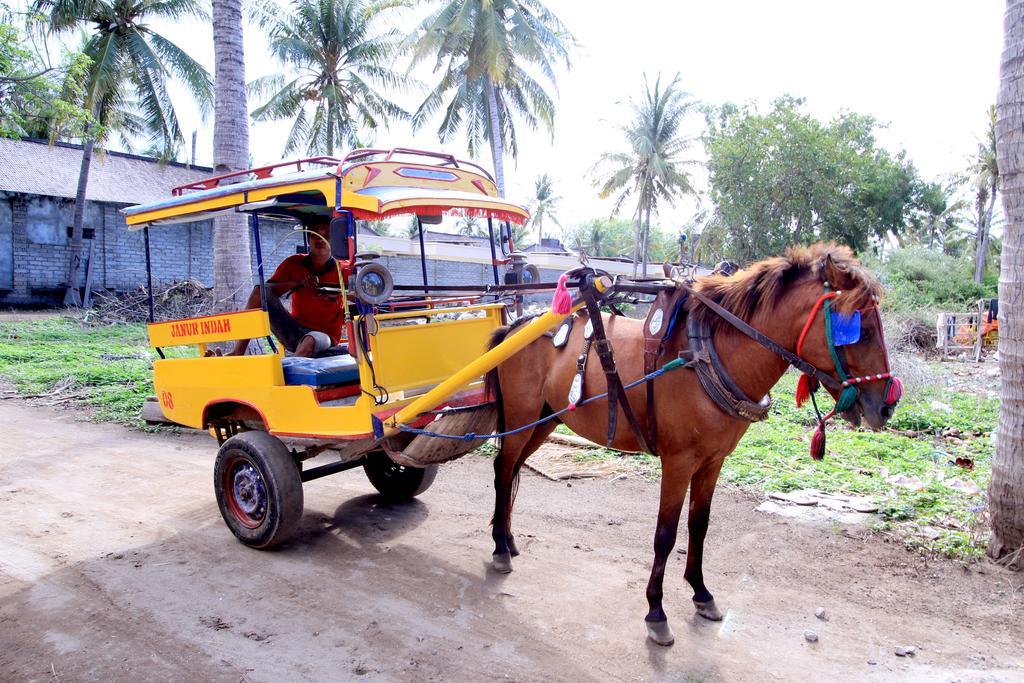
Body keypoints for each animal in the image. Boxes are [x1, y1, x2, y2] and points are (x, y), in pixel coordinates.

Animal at [487, 244, 897, 647]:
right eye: (860, 330)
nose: (886, 405)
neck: (710, 356)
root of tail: (517, 324)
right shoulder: (678, 462)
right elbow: (665, 535)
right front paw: (656, 612)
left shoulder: (713, 461)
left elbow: (699, 525)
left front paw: (701, 593)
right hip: (522, 419)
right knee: (503, 472)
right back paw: (499, 548)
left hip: (544, 419)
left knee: (513, 470)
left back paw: (508, 538)